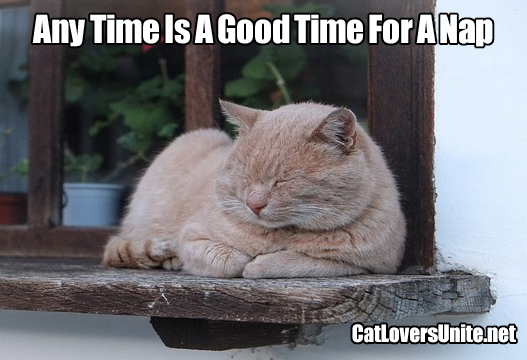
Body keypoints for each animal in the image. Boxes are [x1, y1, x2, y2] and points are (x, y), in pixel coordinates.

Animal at [103, 100, 408, 278]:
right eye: (245, 177)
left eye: (284, 180)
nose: (254, 204)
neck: (285, 233)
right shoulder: (192, 237)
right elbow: (228, 260)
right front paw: (243, 260)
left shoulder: (368, 265)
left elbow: (294, 262)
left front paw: (260, 262)